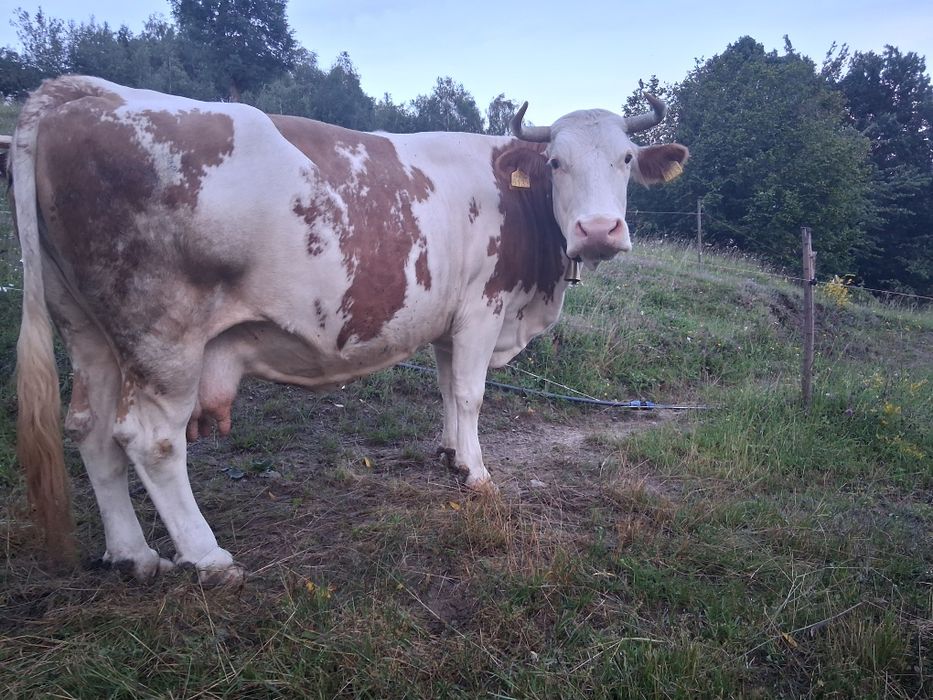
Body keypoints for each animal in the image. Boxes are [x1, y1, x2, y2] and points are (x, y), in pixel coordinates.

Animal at [10, 76, 687, 584]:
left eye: (627, 159)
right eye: (555, 162)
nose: (598, 230)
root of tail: (89, 95)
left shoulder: (446, 320)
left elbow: (447, 389)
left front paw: (450, 455)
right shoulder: (481, 309)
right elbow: (470, 394)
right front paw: (477, 474)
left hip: (88, 329)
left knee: (92, 430)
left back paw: (133, 554)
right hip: (161, 334)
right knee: (150, 438)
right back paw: (208, 558)